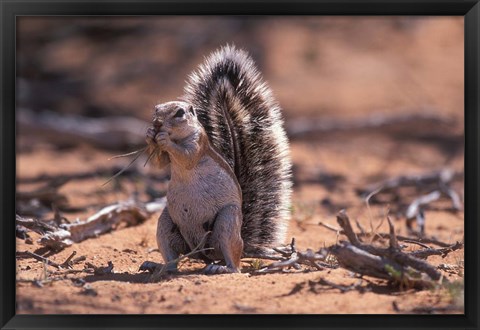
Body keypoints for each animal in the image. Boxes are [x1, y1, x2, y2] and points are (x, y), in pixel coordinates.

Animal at [144, 45, 290, 274]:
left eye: (179, 113)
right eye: (156, 110)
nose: (157, 123)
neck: (179, 137)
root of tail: (206, 254)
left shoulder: (197, 145)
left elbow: (186, 156)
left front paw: (163, 138)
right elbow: (158, 164)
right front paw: (150, 135)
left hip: (226, 221)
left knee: (235, 265)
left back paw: (221, 268)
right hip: (166, 223)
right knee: (173, 260)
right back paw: (159, 266)